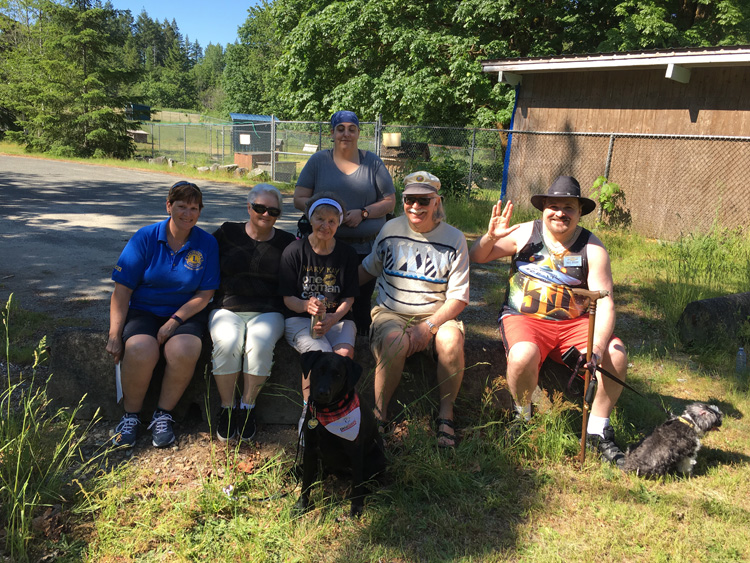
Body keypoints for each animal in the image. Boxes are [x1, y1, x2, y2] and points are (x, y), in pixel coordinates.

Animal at [296, 352, 388, 520]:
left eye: (338, 374)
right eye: (319, 370)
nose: (323, 392)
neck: (327, 412)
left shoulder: (356, 451)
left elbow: (357, 484)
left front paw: (356, 507)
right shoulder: (310, 450)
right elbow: (306, 482)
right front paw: (301, 506)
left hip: (376, 458)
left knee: (368, 481)